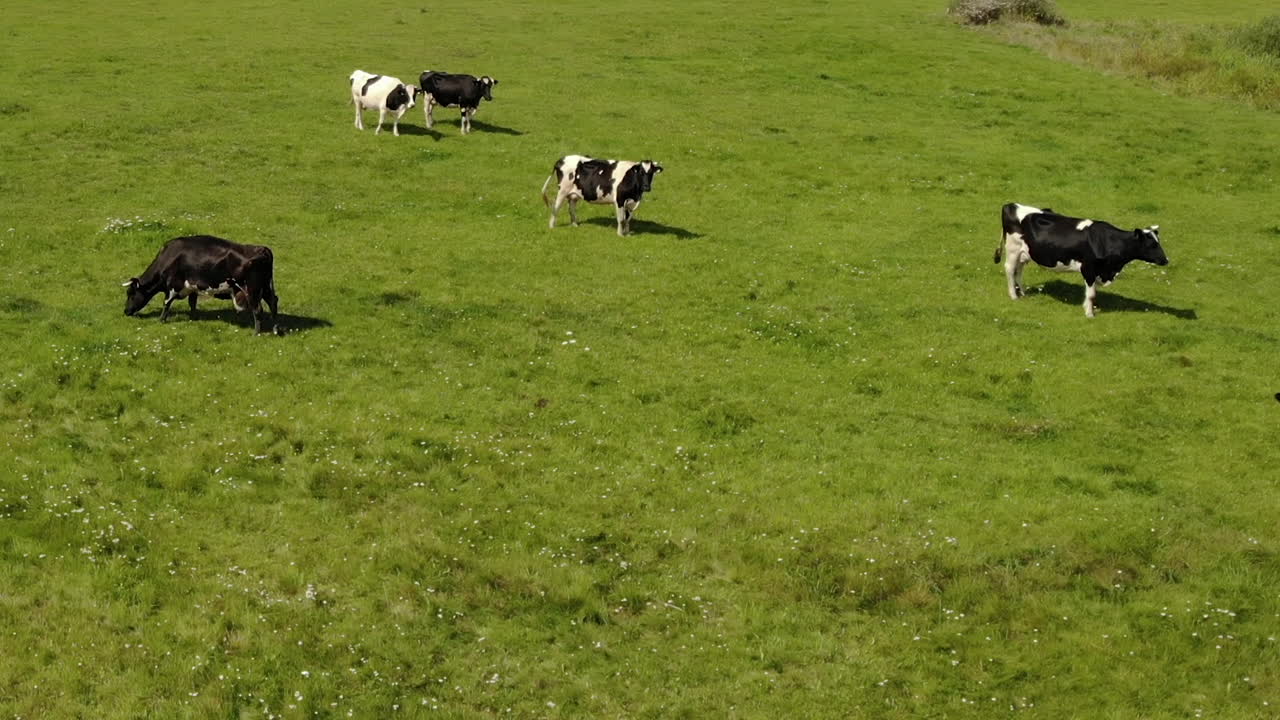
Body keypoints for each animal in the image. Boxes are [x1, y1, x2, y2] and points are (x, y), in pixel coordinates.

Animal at [123, 235, 282, 335]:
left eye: (131, 294)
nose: (125, 311)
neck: (169, 257)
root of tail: (262, 249)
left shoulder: (173, 285)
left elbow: (166, 303)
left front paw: (161, 320)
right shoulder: (192, 287)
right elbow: (192, 302)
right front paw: (193, 318)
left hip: (252, 289)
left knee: (258, 309)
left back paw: (256, 333)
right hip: (266, 287)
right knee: (273, 303)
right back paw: (275, 329)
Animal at [995, 203, 1168, 318]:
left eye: (1158, 242)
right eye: (1151, 245)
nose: (1166, 260)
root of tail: (1011, 205)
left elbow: (1093, 293)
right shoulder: (1088, 268)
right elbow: (1091, 294)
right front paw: (1089, 313)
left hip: (1025, 253)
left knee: (1018, 271)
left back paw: (1023, 293)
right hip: (1013, 249)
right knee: (1009, 269)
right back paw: (1014, 295)